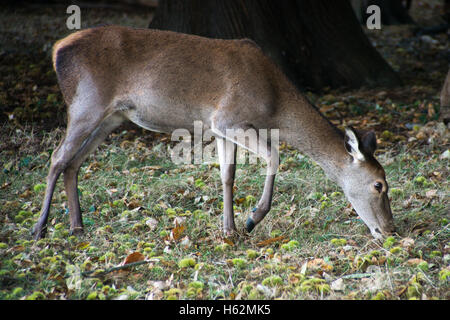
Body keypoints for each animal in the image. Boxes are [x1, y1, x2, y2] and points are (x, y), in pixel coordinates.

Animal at [33, 25, 396, 240]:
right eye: (379, 185)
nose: (390, 230)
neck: (274, 106)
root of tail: (56, 49)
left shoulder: (220, 129)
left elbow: (227, 174)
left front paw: (229, 229)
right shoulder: (227, 118)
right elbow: (273, 155)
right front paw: (252, 220)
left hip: (111, 117)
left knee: (73, 163)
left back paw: (77, 226)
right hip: (85, 103)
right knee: (56, 158)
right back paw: (40, 228)